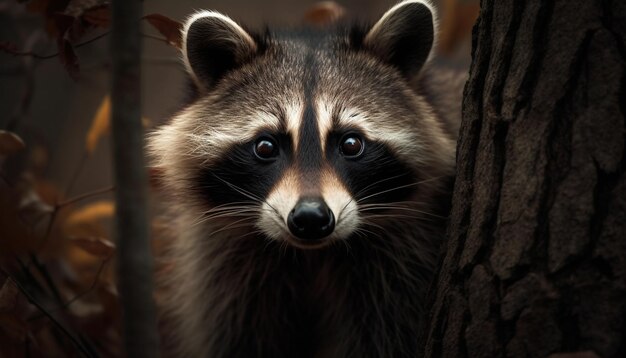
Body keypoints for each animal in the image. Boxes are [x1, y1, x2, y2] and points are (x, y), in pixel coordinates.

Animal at [149, 1, 464, 356]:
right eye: (266, 146)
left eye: (351, 144)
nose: (311, 218)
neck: (311, 254)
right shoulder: (224, 268)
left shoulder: (403, 264)